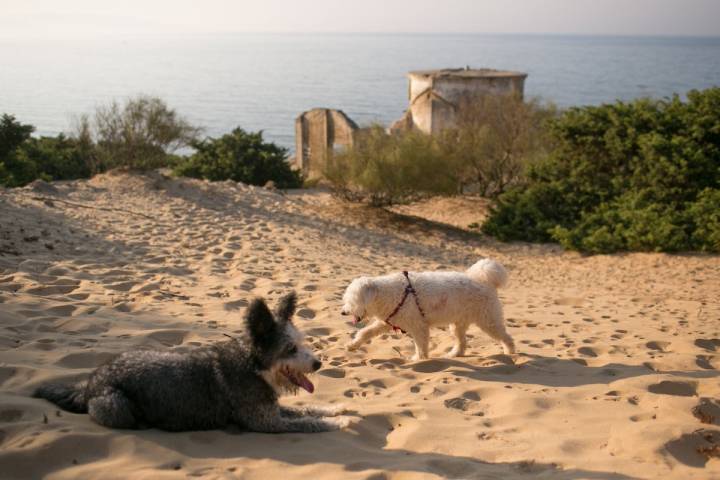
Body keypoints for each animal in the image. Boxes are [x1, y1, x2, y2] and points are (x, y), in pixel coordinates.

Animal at [34, 290, 352, 434]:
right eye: (290, 349)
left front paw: (334, 408)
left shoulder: (271, 408)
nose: (318, 364)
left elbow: (306, 408)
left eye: (302, 342)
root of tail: (90, 384)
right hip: (115, 405)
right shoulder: (266, 421)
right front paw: (339, 420)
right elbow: (308, 422)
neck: (252, 365)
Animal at [342, 258, 516, 360]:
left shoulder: (419, 327)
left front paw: (418, 360)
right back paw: (454, 354)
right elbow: (365, 333)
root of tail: (485, 282)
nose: (343, 312)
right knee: (462, 342)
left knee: (506, 337)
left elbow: (421, 345)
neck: (388, 293)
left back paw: (510, 352)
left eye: (353, 300)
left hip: (489, 321)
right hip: (458, 325)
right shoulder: (386, 322)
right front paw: (352, 346)